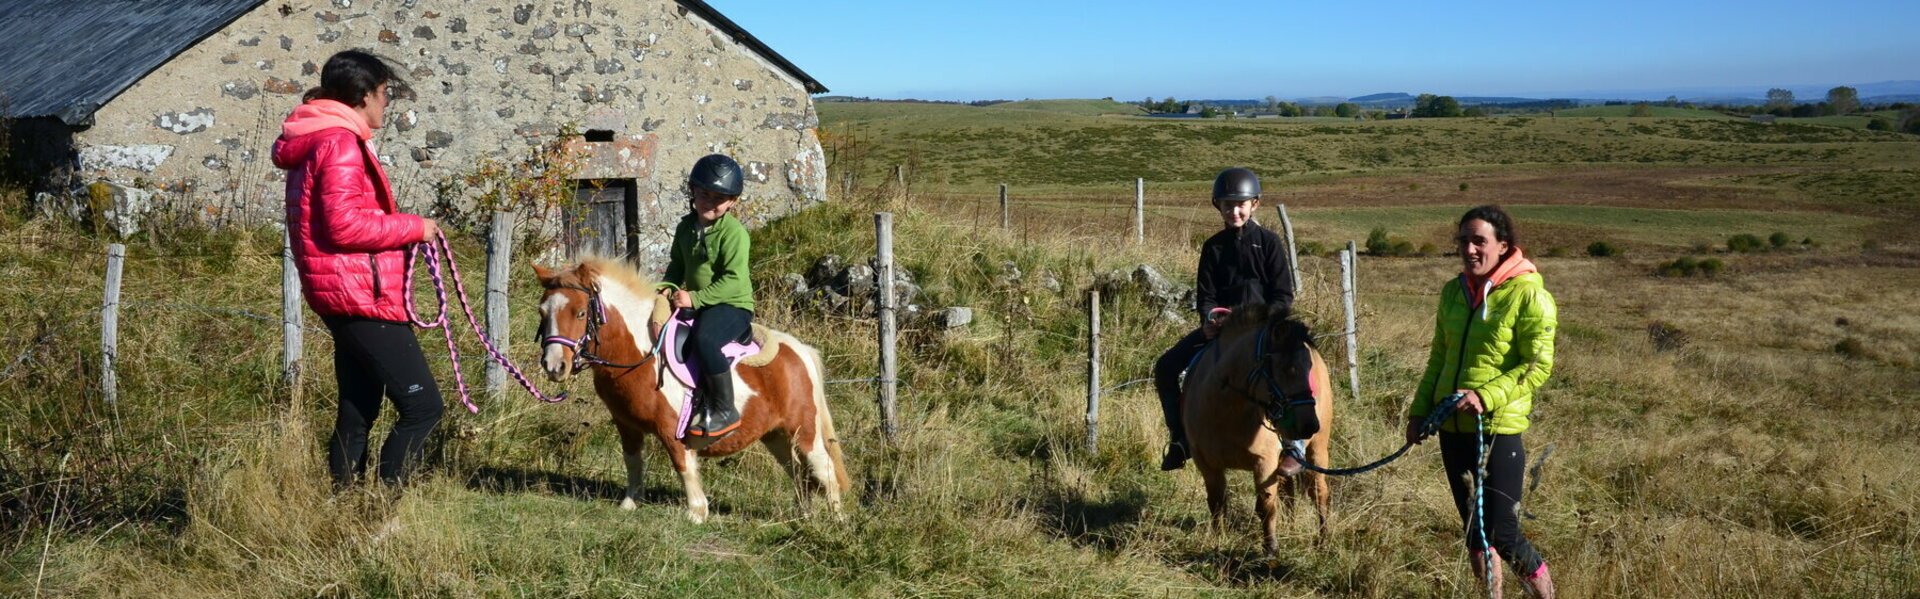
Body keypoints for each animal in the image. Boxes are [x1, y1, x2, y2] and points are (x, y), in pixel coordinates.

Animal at [533, 257, 848, 518]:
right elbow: (632, 461)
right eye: (542, 312)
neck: (641, 354)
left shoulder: (671, 427)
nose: (554, 366)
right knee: (798, 473)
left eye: (580, 313)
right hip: (777, 436)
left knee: (824, 469)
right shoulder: (627, 424)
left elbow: (683, 465)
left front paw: (696, 512)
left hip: (803, 431)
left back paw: (836, 522)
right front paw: (630, 503)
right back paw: (804, 516)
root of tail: (799, 350)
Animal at [1175, 303, 1328, 556]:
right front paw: (1218, 540)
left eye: (1308, 367)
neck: (1224, 411)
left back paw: (1324, 539)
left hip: (1318, 449)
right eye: (1287, 369)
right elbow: (1216, 502)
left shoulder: (1264, 461)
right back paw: (1292, 527)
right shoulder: (1206, 464)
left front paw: (1271, 549)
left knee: (1319, 492)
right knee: (1289, 492)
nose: (1309, 425)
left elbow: (1266, 505)